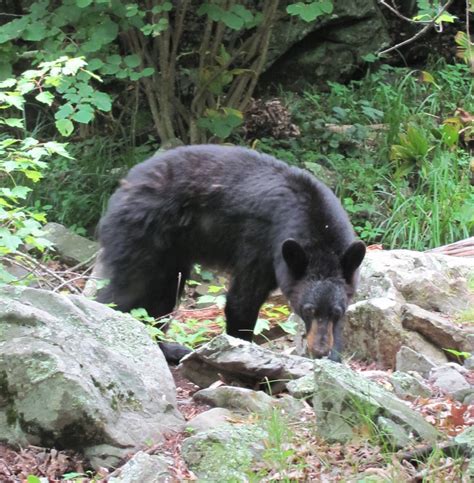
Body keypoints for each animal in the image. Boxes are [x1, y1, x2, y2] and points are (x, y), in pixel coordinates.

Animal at [95, 144, 362, 364]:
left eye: (337, 312)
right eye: (308, 310)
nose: (320, 350)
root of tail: (125, 183)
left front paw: (334, 358)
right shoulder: (261, 244)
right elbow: (243, 300)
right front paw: (241, 350)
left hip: (172, 254)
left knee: (163, 297)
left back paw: (168, 349)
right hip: (143, 233)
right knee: (127, 290)